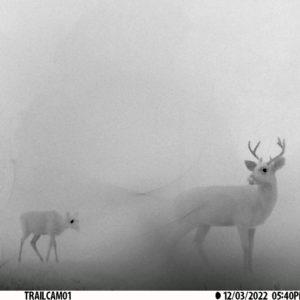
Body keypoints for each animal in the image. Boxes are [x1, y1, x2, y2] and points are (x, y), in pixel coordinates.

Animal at [166, 138, 286, 272]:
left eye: (264, 169)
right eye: (253, 168)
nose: (250, 178)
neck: (258, 202)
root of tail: (174, 201)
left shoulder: (252, 225)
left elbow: (252, 248)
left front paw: (250, 271)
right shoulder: (241, 221)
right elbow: (245, 247)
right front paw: (244, 271)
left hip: (203, 223)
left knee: (196, 242)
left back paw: (210, 268)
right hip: (186, 220)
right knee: (171, 240)